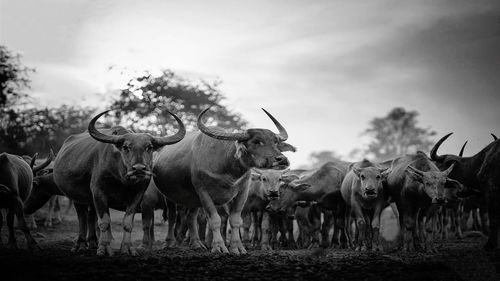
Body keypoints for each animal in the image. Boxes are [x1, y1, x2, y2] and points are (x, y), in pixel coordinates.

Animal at [52, 108, 186, 255]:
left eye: (149, 147)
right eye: (126, 147)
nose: (139, 169)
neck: (122, 180)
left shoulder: (137, 195)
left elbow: (127, 223)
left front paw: (127, 248)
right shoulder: (99, 192)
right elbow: (104, 222)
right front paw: (103, 249)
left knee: (91, 216)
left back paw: (92, 243)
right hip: (77, 197)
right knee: (82, 217)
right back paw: (81, 244)